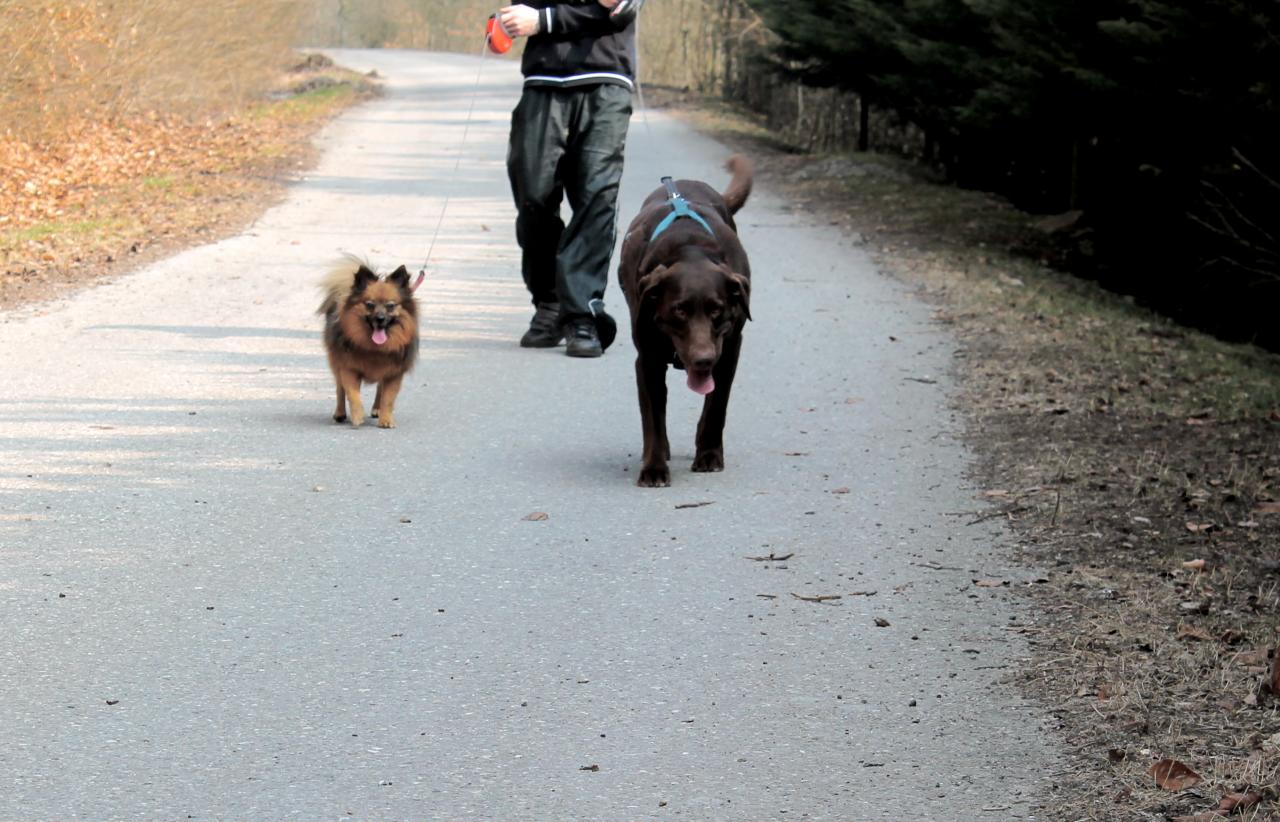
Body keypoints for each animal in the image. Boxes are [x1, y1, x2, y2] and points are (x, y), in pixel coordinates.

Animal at [317, 258, 417, 430]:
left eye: (390, 306)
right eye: (370, 304)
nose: (380, 318)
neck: (374, 348)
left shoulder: (393, 373)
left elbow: (388, 398)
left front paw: (386, 419)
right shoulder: (349, 369)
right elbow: (353, 395)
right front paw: (357, 417)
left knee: (379, 388)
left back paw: (377, 409)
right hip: (336, 363)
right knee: (340, 389)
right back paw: (340, 413)